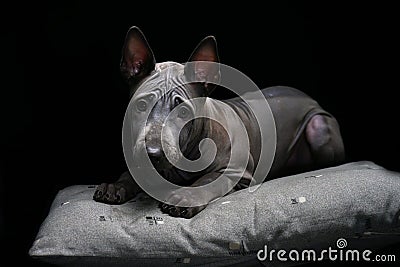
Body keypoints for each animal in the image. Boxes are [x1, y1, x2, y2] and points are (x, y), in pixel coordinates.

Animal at [93, 26, 344, 219]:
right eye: (141, 105)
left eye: (183, 111)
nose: (152, 153)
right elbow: (131, 174)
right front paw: (116, 185)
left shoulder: (234, 171)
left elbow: (208, 180)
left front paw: (185, 197)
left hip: (317, 125)